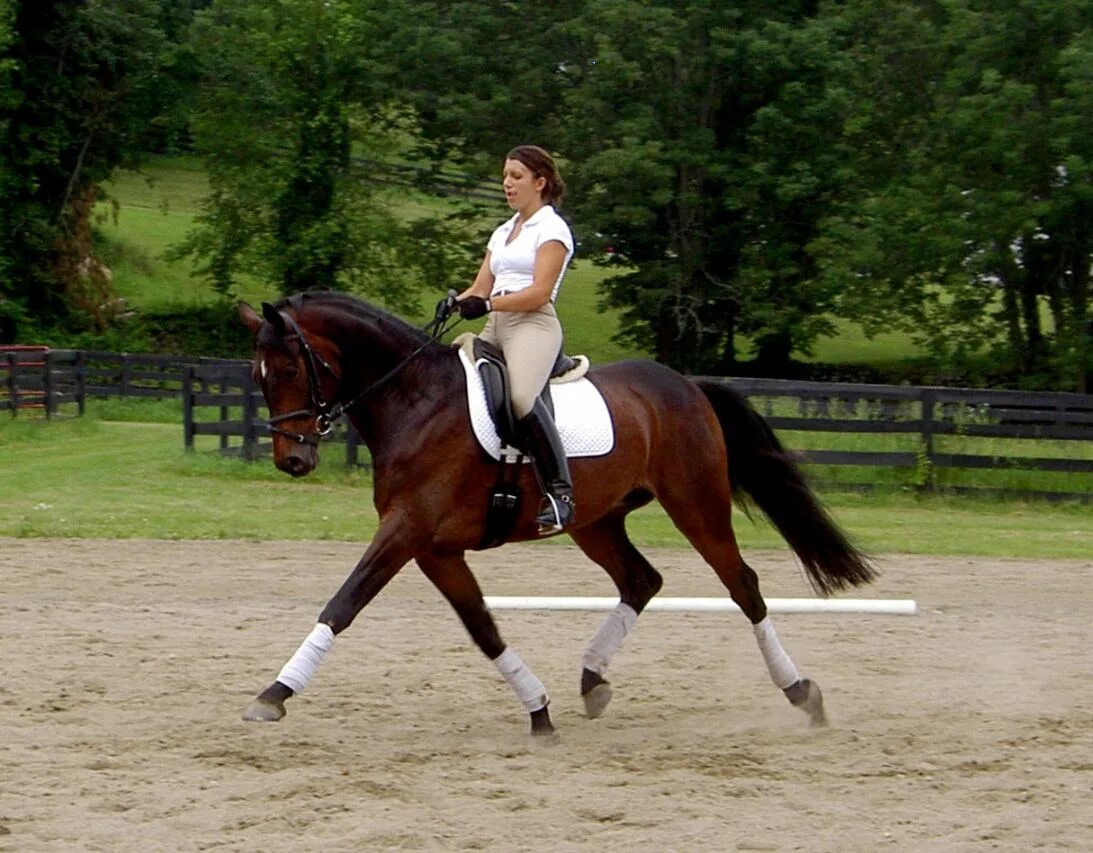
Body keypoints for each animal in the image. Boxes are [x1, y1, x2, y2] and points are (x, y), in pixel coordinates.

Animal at [234, 290, 874, 734]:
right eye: (258, 377)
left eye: (289, 370)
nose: (293, 460)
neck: (414, 400)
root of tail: (685, 384)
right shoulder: (434, 547)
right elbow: (483, 627)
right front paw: (538, 709)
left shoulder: (406, 531)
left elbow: (344, 603)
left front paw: (274, 694)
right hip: (596, 520)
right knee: (641, 580)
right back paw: (592, 681)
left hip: (697, 504)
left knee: (743, 585)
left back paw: (802, 694)